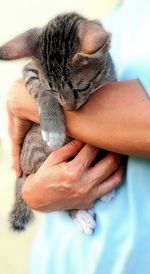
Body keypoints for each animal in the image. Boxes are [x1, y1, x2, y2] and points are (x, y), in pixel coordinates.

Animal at [0, 12, 116, 235]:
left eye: (82, 87)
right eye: (53, 90)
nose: (70, 108)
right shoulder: (31, 70)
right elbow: (41, 92)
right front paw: (53, 126)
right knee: (57, 201)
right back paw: (79, 213)